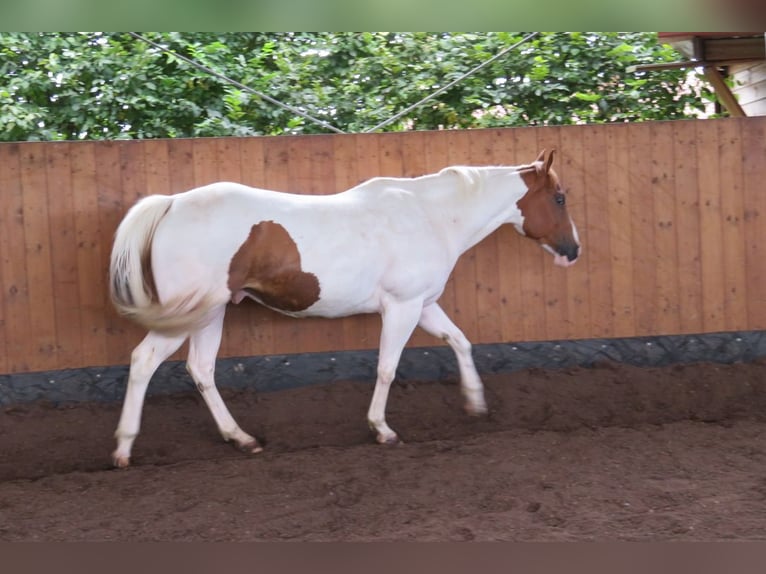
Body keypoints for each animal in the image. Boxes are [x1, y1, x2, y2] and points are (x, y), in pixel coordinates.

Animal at [108, 149, 580, 467]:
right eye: (559, 198)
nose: (573, 251)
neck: (431, 215)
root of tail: (171, 204)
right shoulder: (402, 307)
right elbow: (387, 367)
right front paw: (382, 430)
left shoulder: (424, 304)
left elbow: (460, 341)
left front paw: (475, 404)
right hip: (189, 314)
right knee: (144, 360)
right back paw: (124, 447)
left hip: (212, 313)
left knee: (201, 369)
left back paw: (240, 438)